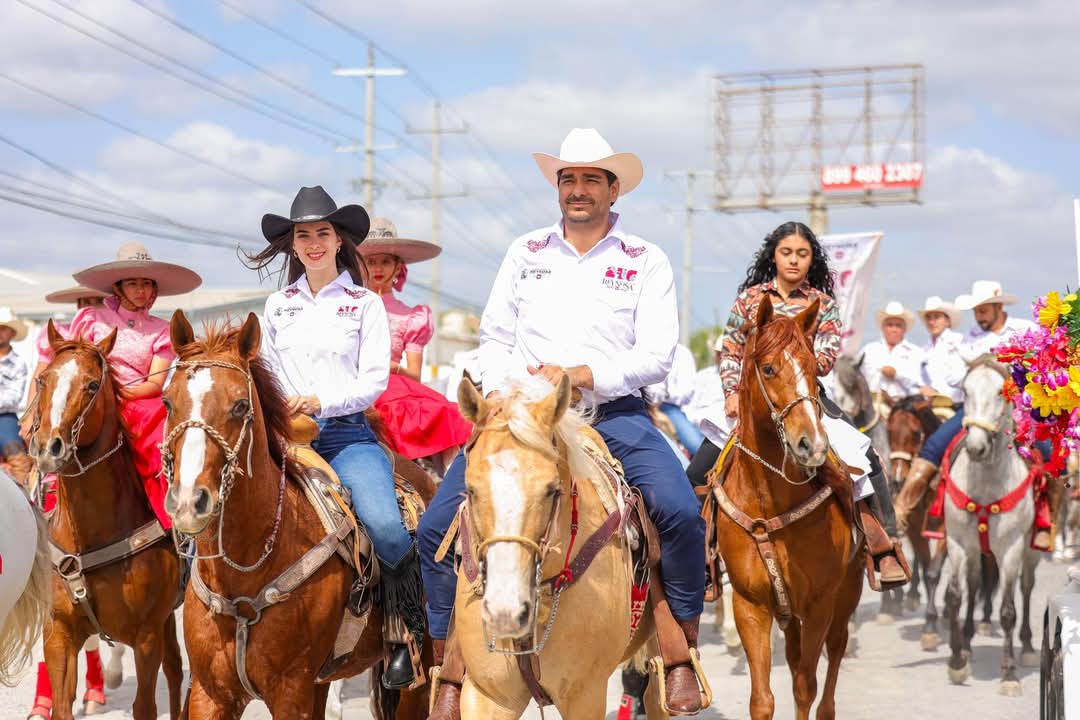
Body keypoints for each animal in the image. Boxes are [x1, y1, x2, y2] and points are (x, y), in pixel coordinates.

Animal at [25, 323, 183, 720]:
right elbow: (62, 705)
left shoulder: (146, 637)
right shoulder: (58, 634)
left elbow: (145, 706)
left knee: (176, 671)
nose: (48, 446)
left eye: (92, 385)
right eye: (43, 380)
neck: (90, 534)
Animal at [706, 299, 862, 720]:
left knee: (835, 653)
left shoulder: (821, 603)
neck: (768, 501)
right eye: (768, 368)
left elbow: (805, 687)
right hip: (789, 614)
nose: (812, 444)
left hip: (846, 595)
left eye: (812, 369)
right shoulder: (751, 605)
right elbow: (762, 699)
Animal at [941, 356, 1041, 695]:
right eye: (965, 390)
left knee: (1026, 588)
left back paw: (1027, 647)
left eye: (1001, 392)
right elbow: (955, 596)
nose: (976, 447)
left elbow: (1008, 611)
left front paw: (1009, 675)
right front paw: (957, 662)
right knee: (973, 585)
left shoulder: (1010, 549)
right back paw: (968, 641)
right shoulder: (958, 542)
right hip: (975, 552)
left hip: (1031, 551)